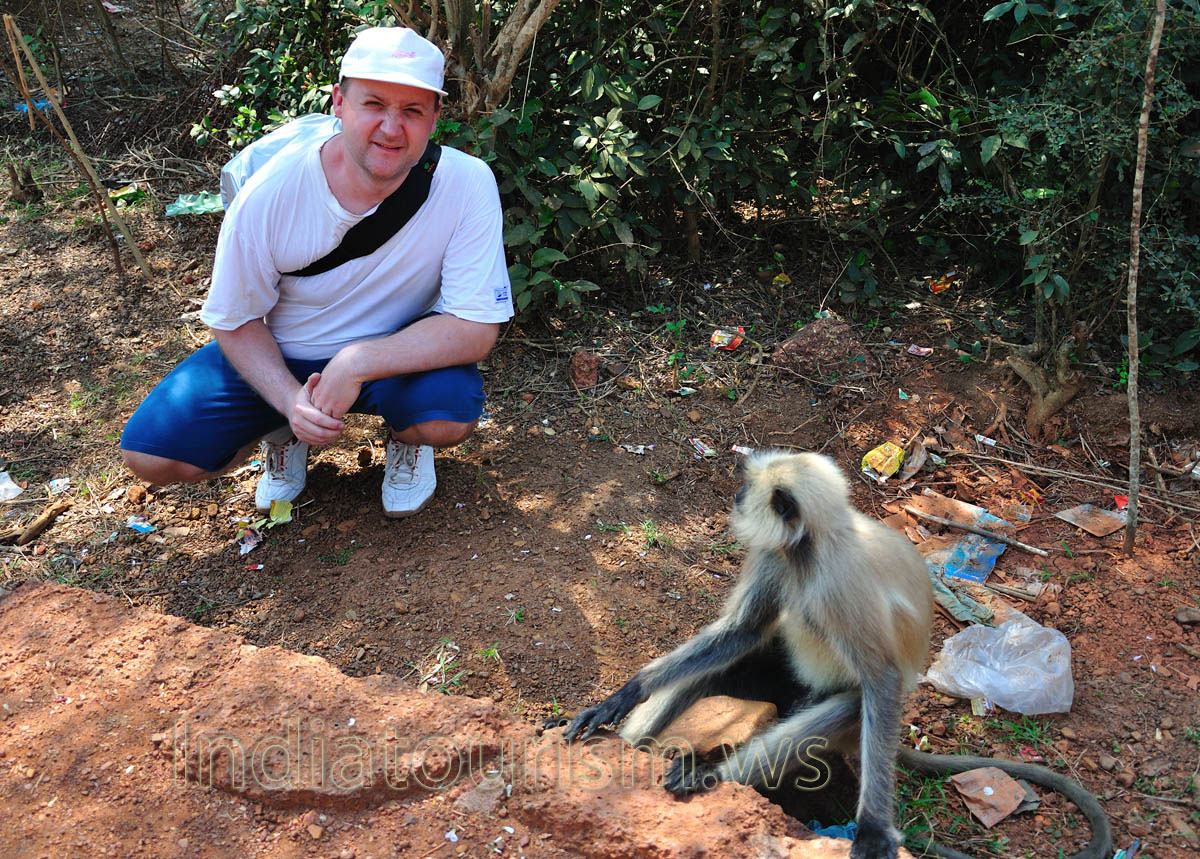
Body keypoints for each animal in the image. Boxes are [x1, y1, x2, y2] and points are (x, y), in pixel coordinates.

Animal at [563, 450, 1110, 859]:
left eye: (748, 489)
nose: (735, 497)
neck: (812, 549)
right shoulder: (776, 555)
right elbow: (740, 632)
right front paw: (622, 695)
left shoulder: (841, 587)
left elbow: (880, 678)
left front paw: (872, 829)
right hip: (780, 676)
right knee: (723, 662)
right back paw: (629, 752)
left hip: (850, 716)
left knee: (849, 704)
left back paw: (709, 776)